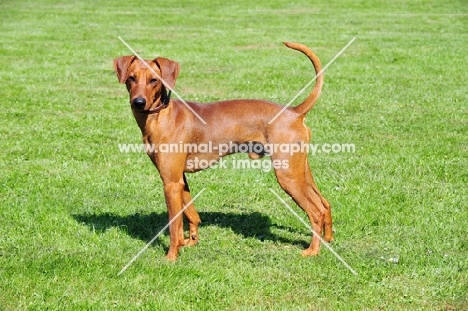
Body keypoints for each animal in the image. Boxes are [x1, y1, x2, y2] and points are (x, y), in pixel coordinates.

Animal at [113, 42, 332, 260]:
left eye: (154, 80)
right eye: (131, 78)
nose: (138, 102)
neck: (162, 116)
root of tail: (294, 112)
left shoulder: (171, 183)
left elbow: (175, 225)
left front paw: (172, 256)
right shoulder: (180, 180)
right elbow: (191, 213)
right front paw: (190, 241)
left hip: (288, 176)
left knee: (315, 212)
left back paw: (313, 250)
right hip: (301, 172)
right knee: (324, 204)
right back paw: (328, 239)